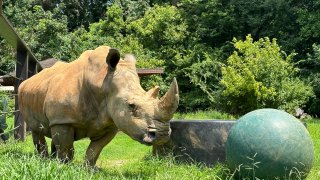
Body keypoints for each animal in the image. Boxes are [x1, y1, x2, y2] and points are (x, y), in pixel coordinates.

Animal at [18, 46, 180, 166]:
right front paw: (64, 167)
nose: (163, 135)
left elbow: (94, 150)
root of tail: (27, 81)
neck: (102, 81)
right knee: (36, 130)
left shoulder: (110, 123)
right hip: (26, 97)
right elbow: (65, 148)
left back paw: (51, 159)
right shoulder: (63, 120)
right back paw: (44, 160)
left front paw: (88, 169)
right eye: (131, 106)